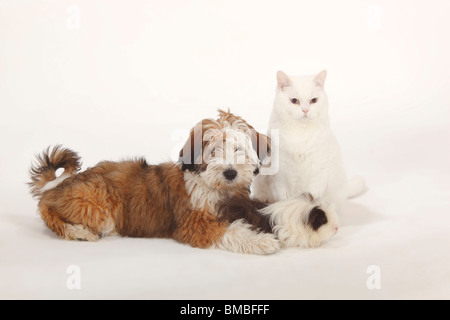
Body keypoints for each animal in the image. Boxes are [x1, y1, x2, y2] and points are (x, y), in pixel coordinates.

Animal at [29, 110, 278, 255]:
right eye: (213, 150)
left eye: (238, 149)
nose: (230, 173)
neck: (214, 187)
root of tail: (56, 187)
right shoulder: (193, 223)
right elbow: (230, 231)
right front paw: (262, 241)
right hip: (97, 200)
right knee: (52, 216)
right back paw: (79, 232)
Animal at [253, 70, 366, 208]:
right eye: (294, 101)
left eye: (313, 100)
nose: (305, 110)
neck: (301, 132)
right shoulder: (280, 175)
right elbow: (284, 198)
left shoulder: (318, 172)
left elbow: (312, 197)